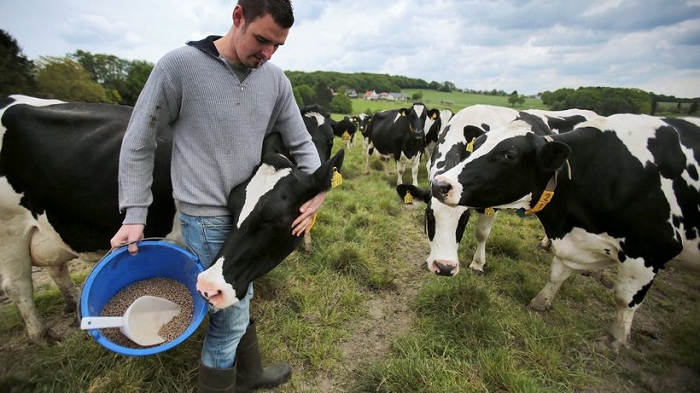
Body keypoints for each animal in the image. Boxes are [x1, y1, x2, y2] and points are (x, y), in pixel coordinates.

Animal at [432, 112, 700, 350]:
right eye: (476, 145)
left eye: (509, 155)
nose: (441, 184)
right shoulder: (570, 239)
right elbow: (557, 273)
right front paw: (541, 301)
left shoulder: (650, 250)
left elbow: (625, 299)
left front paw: (615, 340)